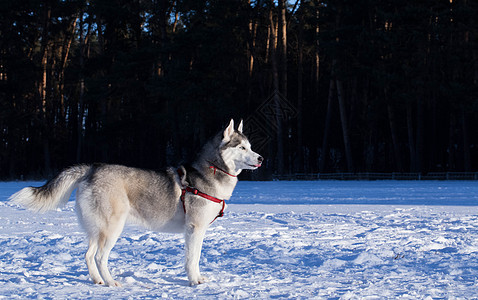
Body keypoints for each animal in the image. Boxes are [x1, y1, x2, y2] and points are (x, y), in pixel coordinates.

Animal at [9, 119, 264, 286]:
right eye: (242, 147)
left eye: (250, 147)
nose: (261, 158)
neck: (210, 171)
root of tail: (92, 167)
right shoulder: (194, 228)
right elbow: (192, 259)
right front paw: (194, 282)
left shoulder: (197, 230)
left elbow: (195, 258)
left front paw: (198, 278)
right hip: (112, 228)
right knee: (100, 257)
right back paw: (111, 282)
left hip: (95, 229)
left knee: (88, 256)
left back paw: (98, 281)